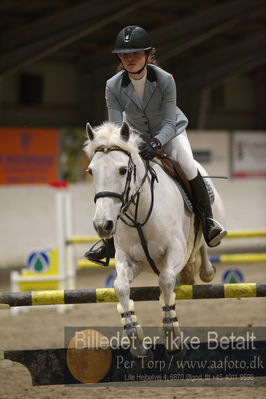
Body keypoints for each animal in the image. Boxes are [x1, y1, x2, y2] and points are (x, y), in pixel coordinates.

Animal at [84, 122, 225, 360]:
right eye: (91, 171)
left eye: (123, 170)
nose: (103, 225)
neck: (139, 213)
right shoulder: (130, 259)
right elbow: (121, 286)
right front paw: (136, 342)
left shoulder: (175, 252)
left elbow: (166, 281)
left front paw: (172, 339)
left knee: (203, 245)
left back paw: (207, 267)